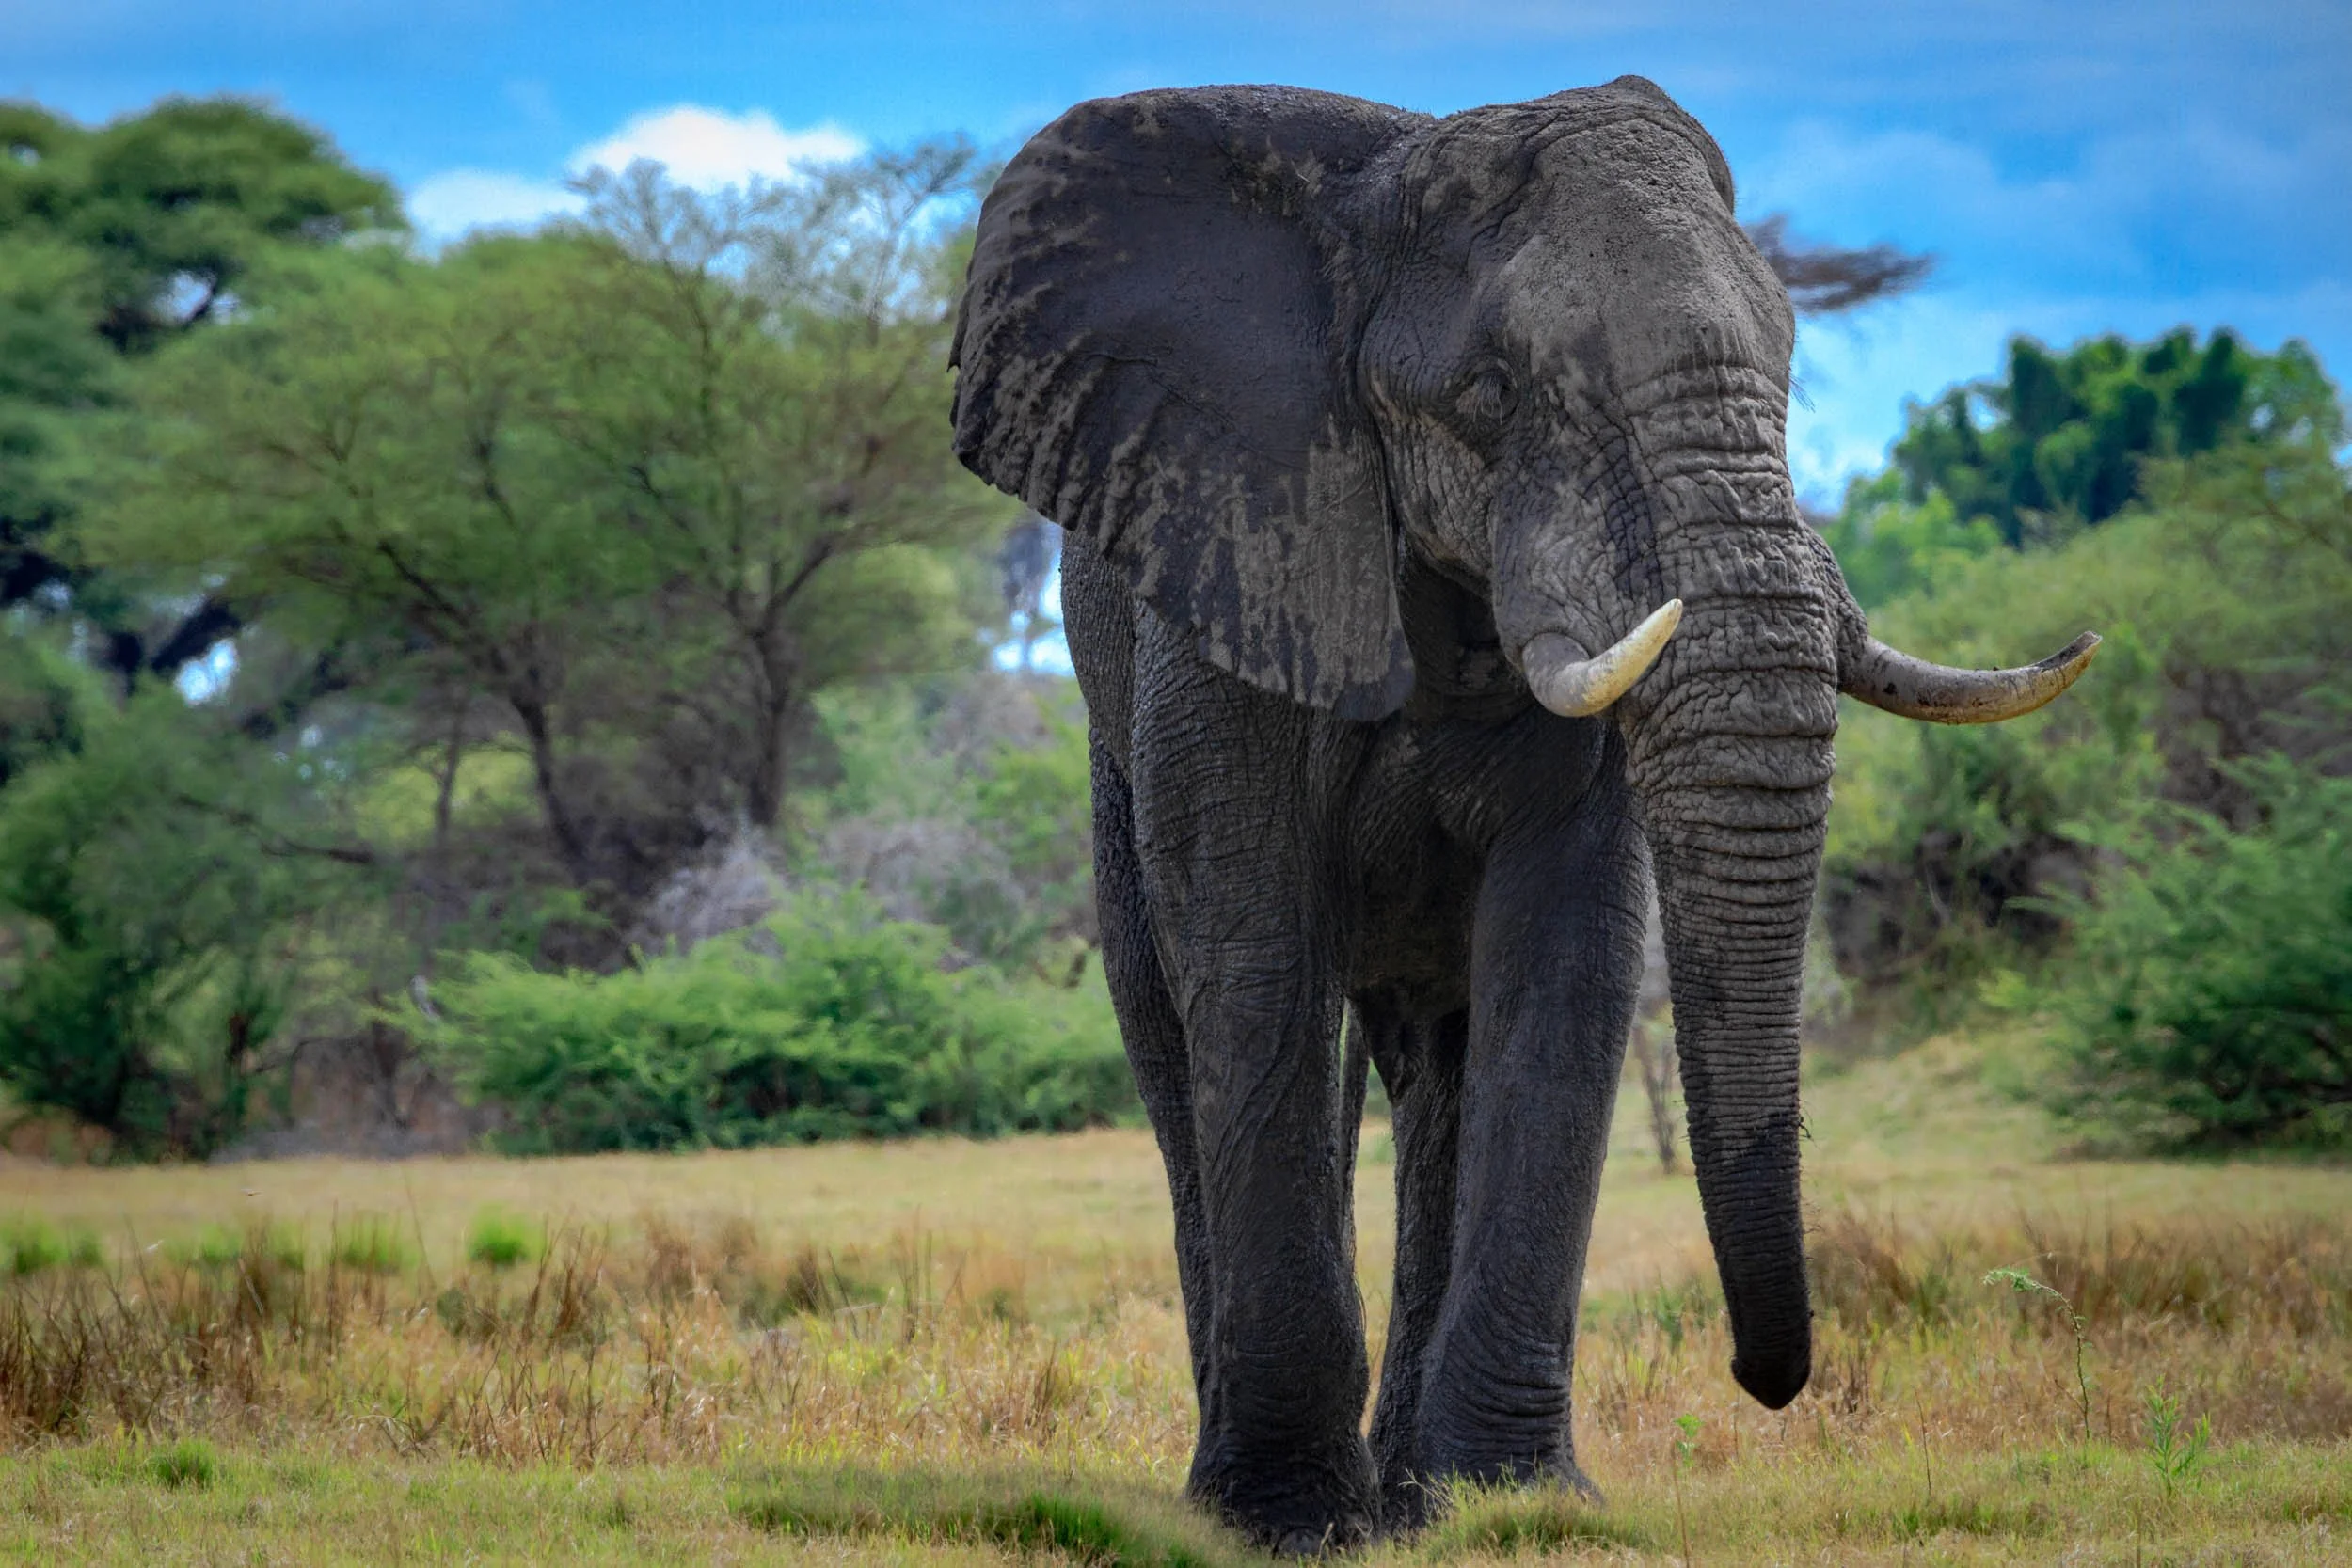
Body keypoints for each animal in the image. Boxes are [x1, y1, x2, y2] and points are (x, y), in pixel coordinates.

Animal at [949, 76, 2098, 1549]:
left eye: (1789, 363)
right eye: (1490, 394)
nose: (1769, 1377)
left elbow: (1565, 964)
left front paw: (1511, 1497)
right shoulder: (1235, 552)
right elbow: (1255, 953)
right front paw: (1290, 1519)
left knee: (1436, 1059)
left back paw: (1408, 1493)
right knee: (1170, 1015)